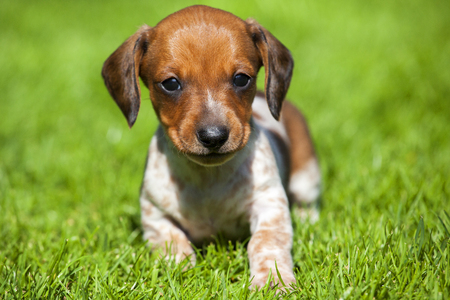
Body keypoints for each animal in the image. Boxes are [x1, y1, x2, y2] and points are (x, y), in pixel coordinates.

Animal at [102, 4, 320, 290]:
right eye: (170, 83)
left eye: (241, 79)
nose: (214, 136)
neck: (208, 179)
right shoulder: (154, 214)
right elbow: (172, 242)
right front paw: (178, 272)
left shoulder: (269, 205)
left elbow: (265, 243)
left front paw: (273, 281)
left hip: (307, 176)